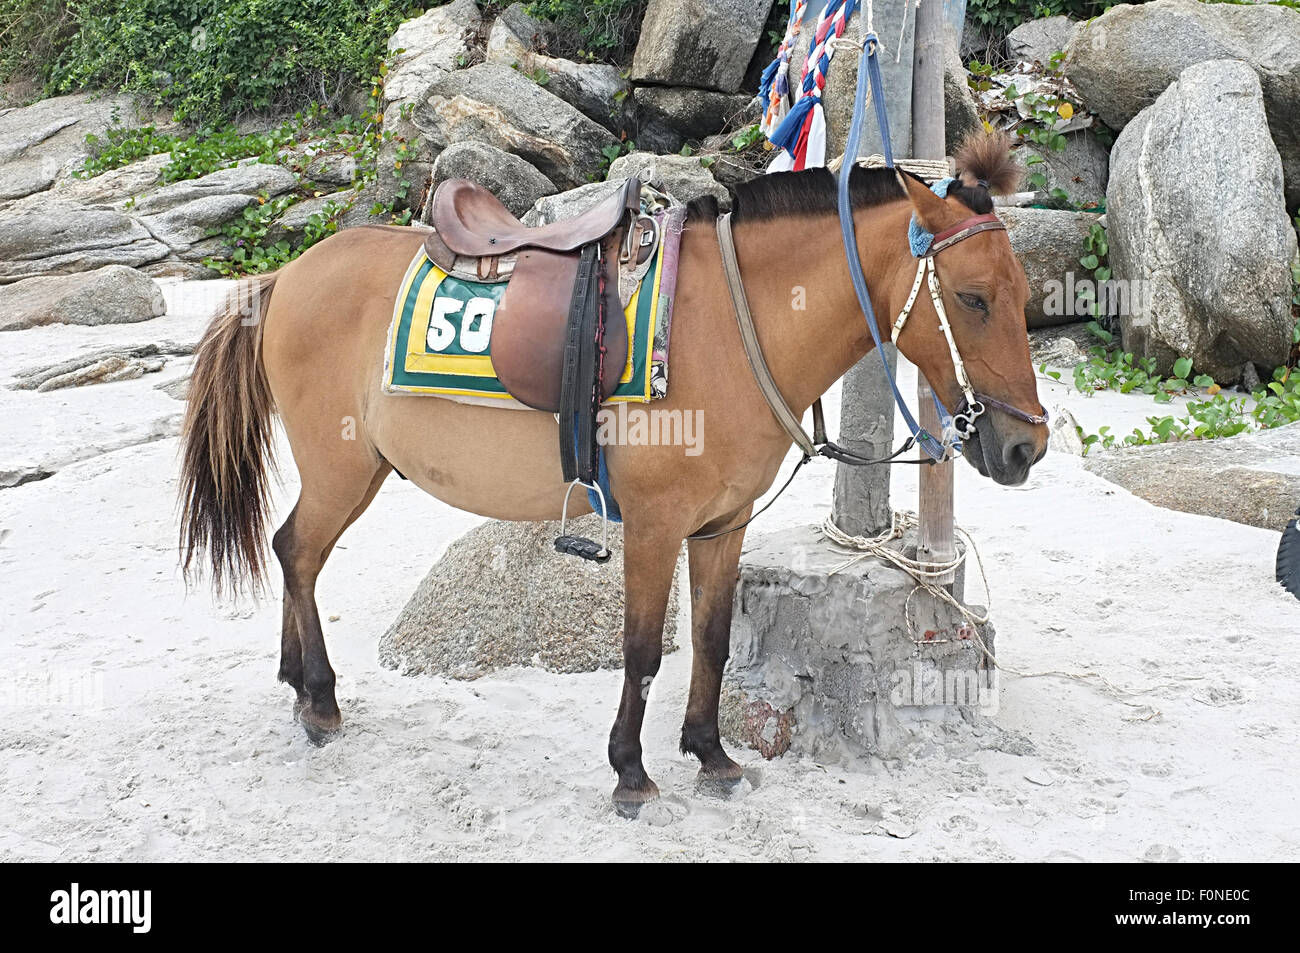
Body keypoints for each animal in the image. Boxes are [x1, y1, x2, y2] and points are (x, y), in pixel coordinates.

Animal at [178, 137, 1045, 816]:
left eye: (1025, 295)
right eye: (971, 298)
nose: (1025, 446)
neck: (729, 324)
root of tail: (283, 278)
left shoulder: (723, 524)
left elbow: (711, 638)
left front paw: (710, 752)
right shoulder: (655, 526)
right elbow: (642, 649)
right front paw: (631, 771)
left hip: (358, 472)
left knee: (294, 551)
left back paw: (297, 681)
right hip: (342, 468)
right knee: (297, 552)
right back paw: (320, 697)